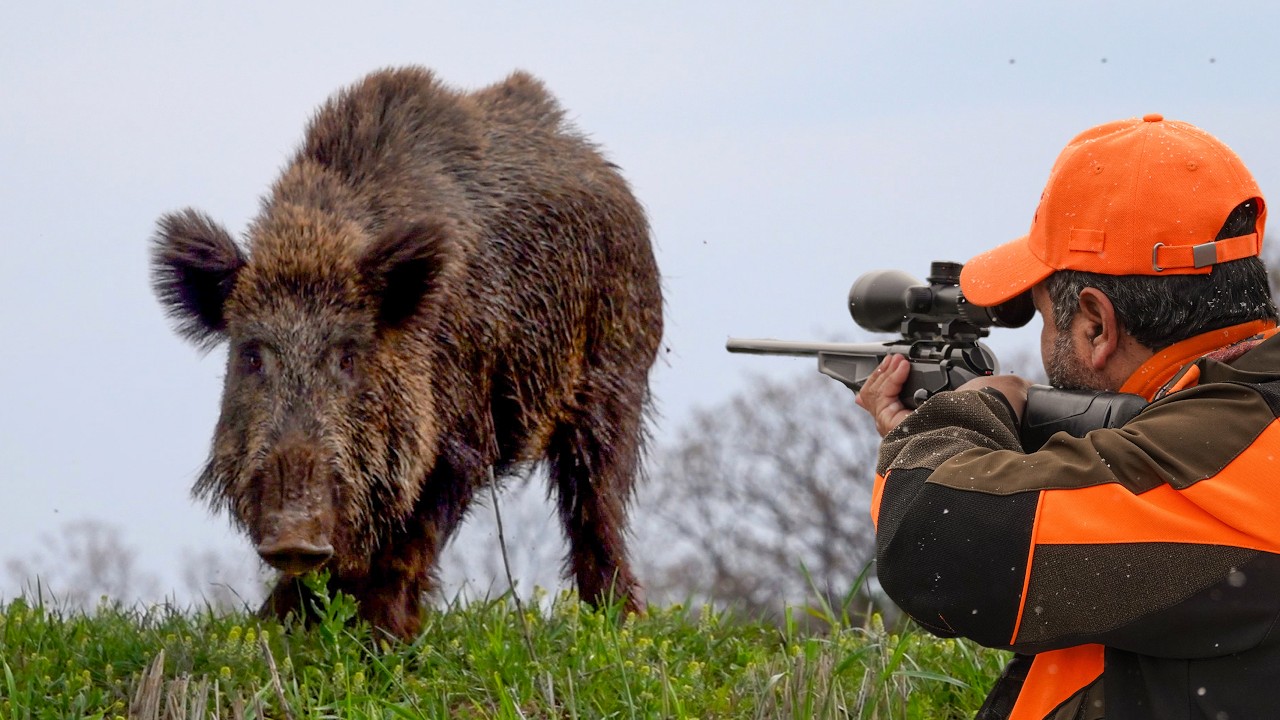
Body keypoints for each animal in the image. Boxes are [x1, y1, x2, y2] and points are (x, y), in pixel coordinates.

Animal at [150, 66, 663, 639]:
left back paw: (621, 626)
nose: (292, 535)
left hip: (616, 374)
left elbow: (410, 540)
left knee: (596, 498)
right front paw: (276, 627)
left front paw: (384, 638)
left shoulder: (462, 435)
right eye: (252, 355)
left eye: (349, 356)